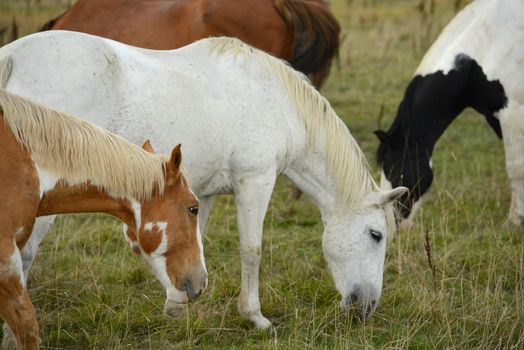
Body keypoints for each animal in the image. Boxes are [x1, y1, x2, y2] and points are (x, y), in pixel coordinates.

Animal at [374, 0, 524, 226]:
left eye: (395, 170)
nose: (394, 222)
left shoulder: (512, 112)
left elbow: (515, 167)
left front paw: (514, 220)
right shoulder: (494, 116)